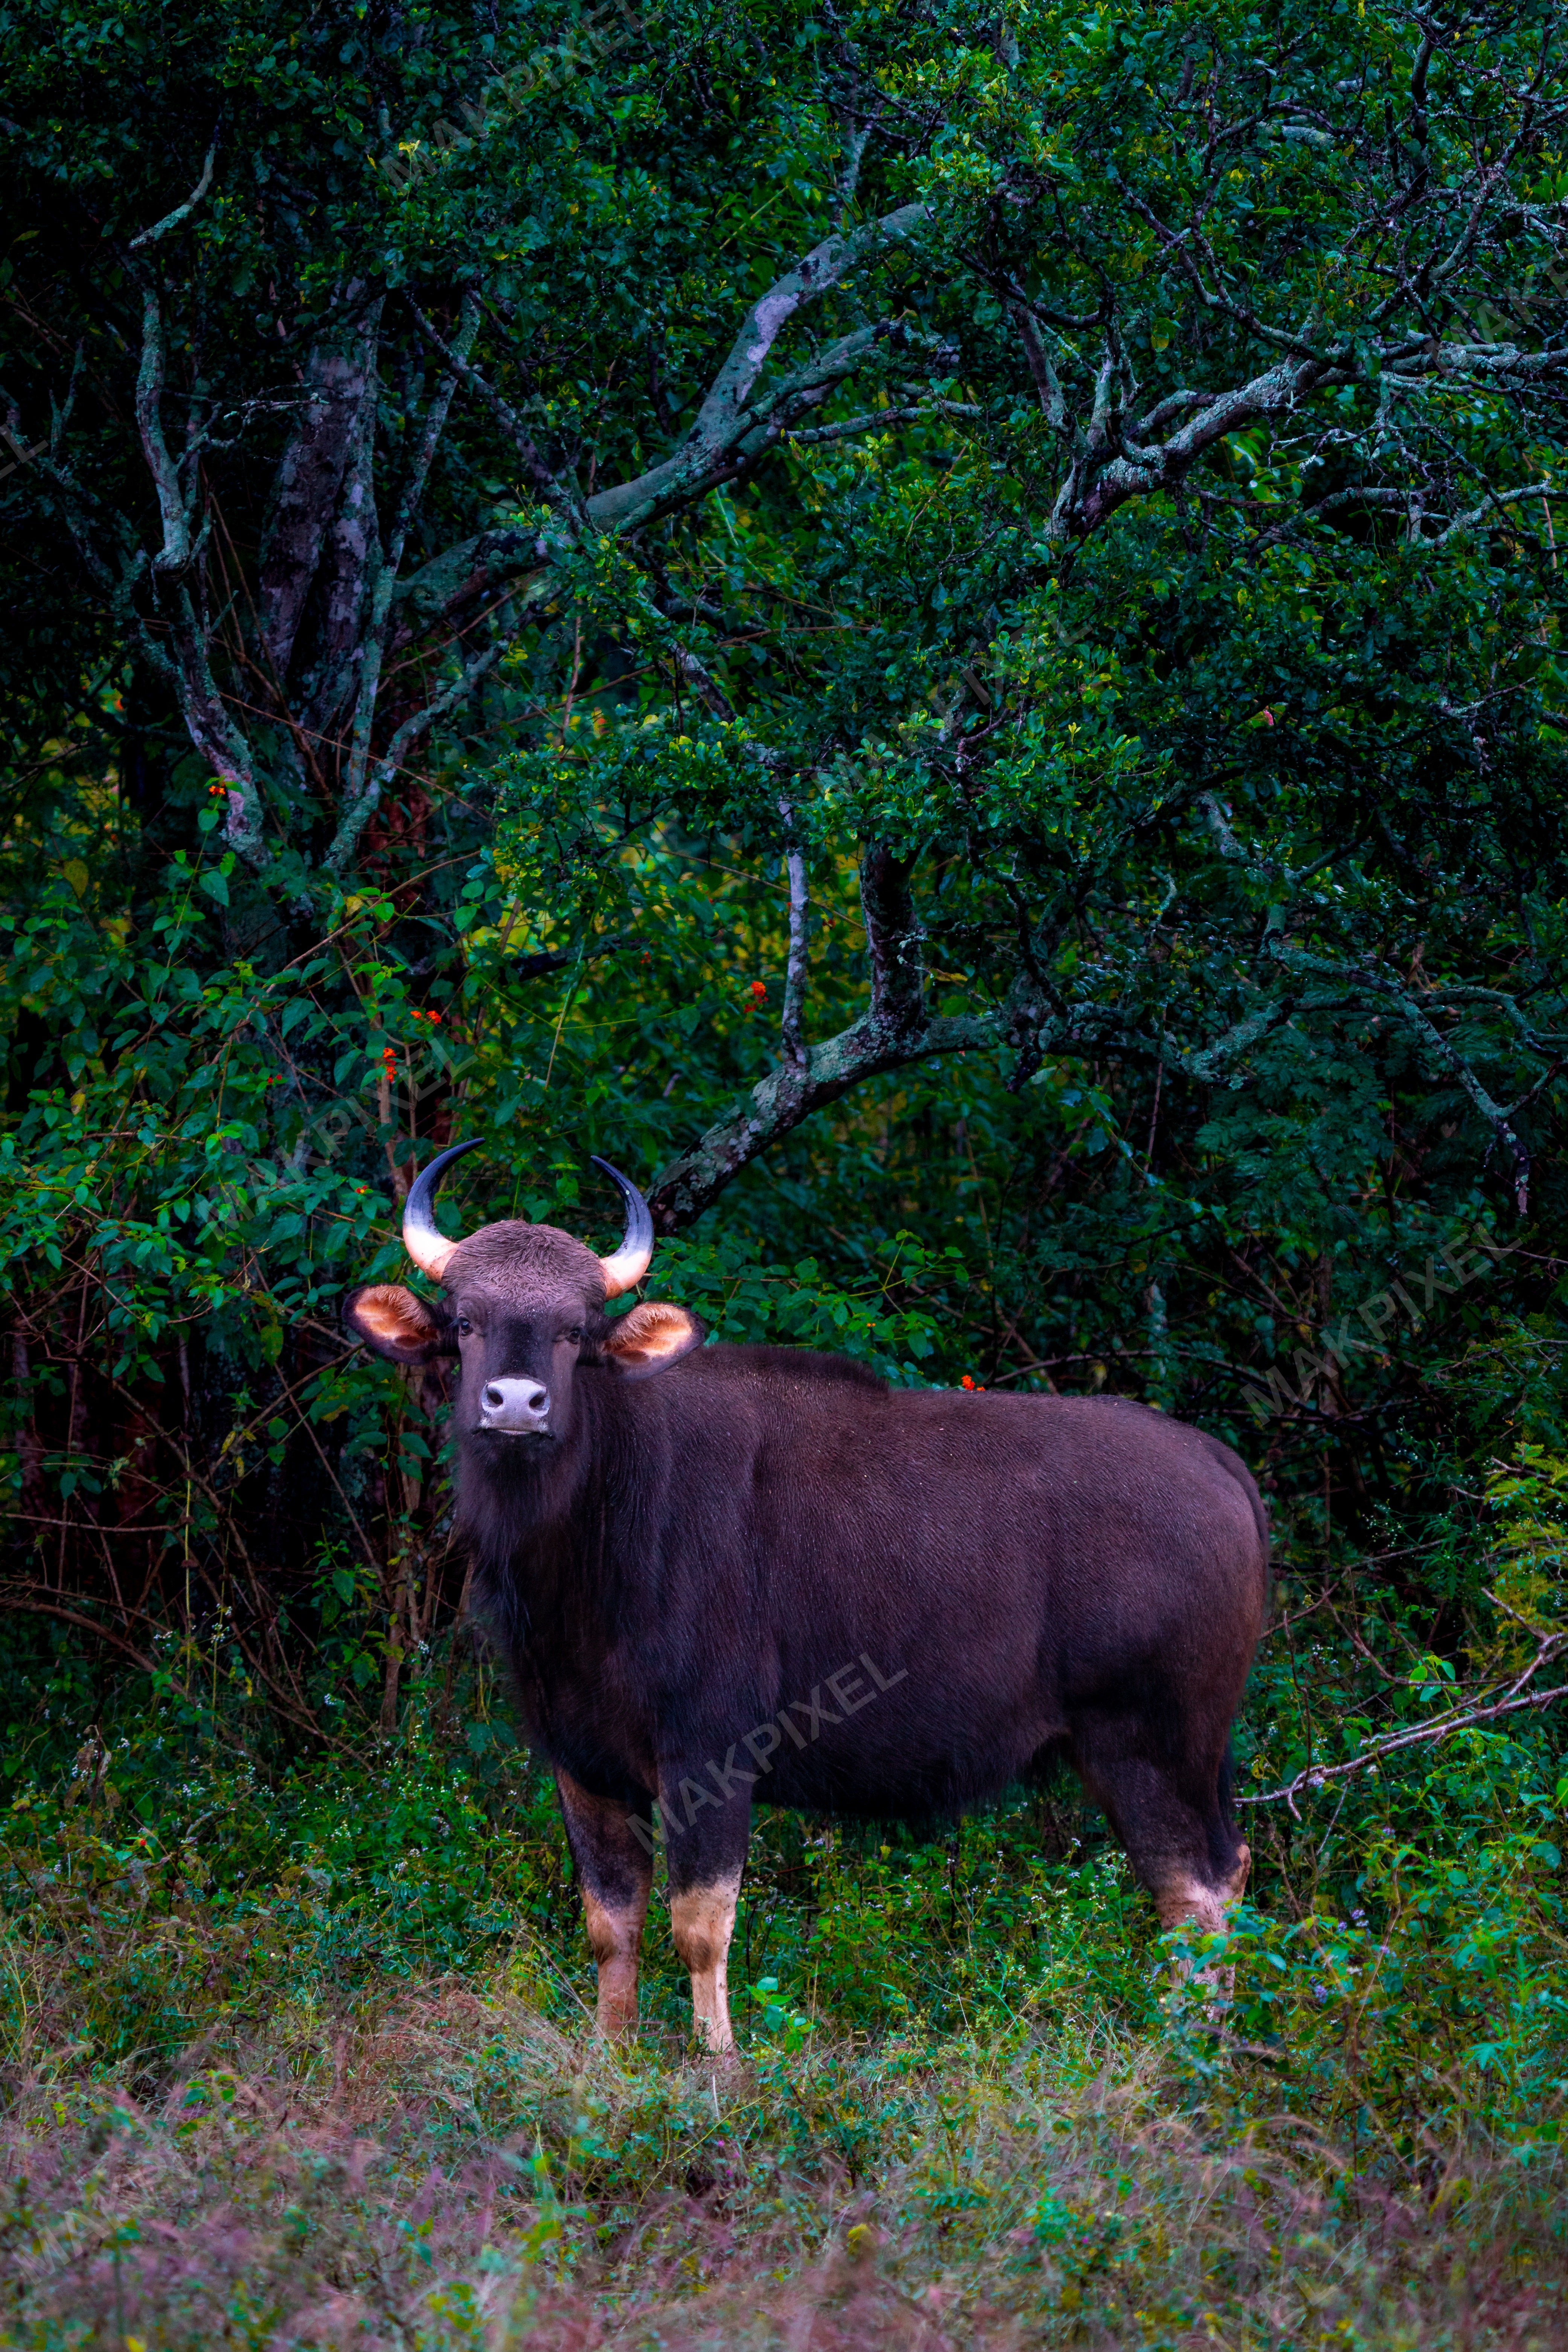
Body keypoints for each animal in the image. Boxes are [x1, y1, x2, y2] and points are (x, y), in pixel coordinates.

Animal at [345, 1143, 1268, 2051]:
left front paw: (716, 2063)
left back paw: (1185, 2055)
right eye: (466, 1321)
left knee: (1196, 1892)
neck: (600, 1532)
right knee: (1226, 1871)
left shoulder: (711, 1752)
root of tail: (1221, 1468)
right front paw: (612, 2057)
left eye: (576, 1331)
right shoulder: (584, 1763)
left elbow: (700, 1925)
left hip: (1154, 1740)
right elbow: (612, 1924)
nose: (516, 1403)